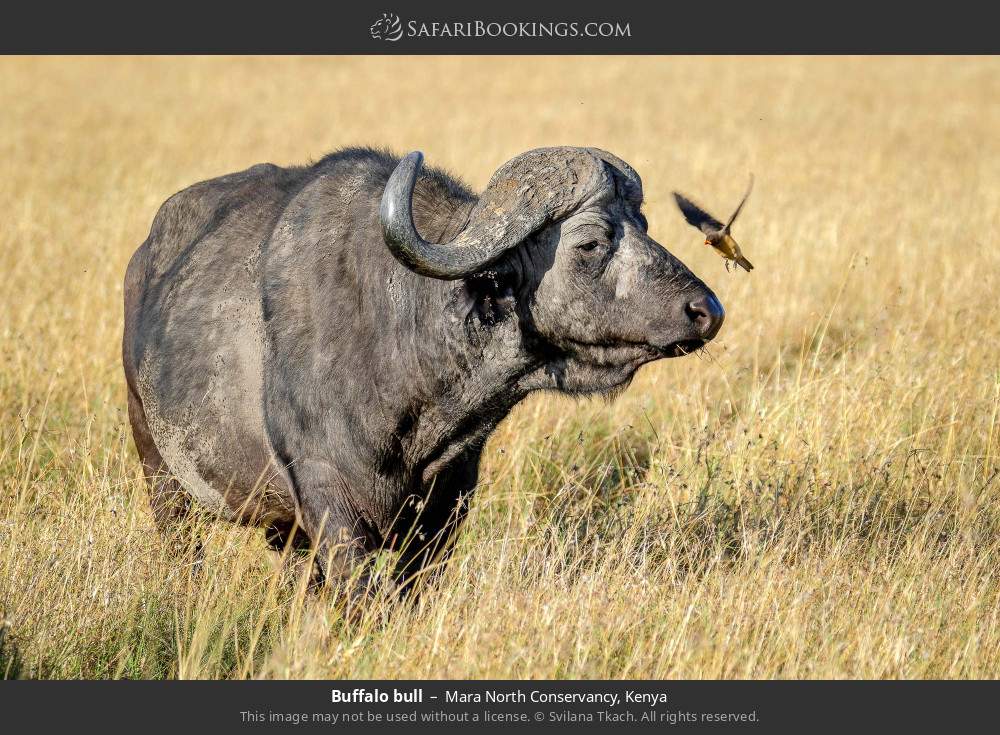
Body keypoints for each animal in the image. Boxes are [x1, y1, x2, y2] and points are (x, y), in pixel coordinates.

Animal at [122, 146, 724, 602]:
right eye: (592, 241)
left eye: (644, 226)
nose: (707, 310)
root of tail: (143, 259)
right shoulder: (331, 505)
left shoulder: (444, 509)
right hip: (161, 474)